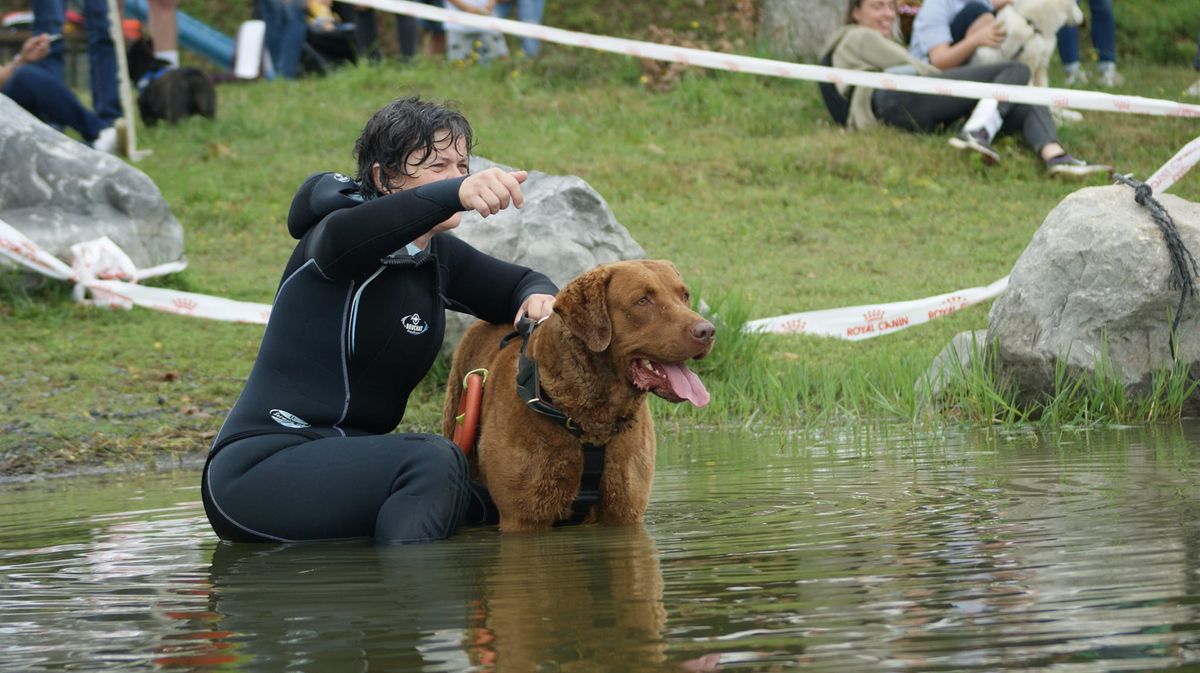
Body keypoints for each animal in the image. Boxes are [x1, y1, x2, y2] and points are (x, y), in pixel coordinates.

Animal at [448, 260, 710, 532]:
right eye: (643, 300)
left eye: (685, 295)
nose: (707, 331)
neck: (592, 420)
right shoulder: (522, 518)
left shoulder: (625, 509)